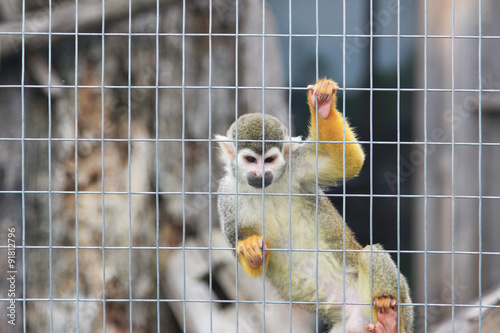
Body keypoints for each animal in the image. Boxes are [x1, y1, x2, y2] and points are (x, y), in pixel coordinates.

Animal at [215, 78, 414, 332]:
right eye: (250, 160)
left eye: (269, 160)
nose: (261, 174)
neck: (265, 189)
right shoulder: (226, 196)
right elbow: (249, 256)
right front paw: (251, 249)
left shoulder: (297, 168)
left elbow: (347, 162)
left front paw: (323, 107)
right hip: (348, 326)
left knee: (371, 255)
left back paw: (392, 322)